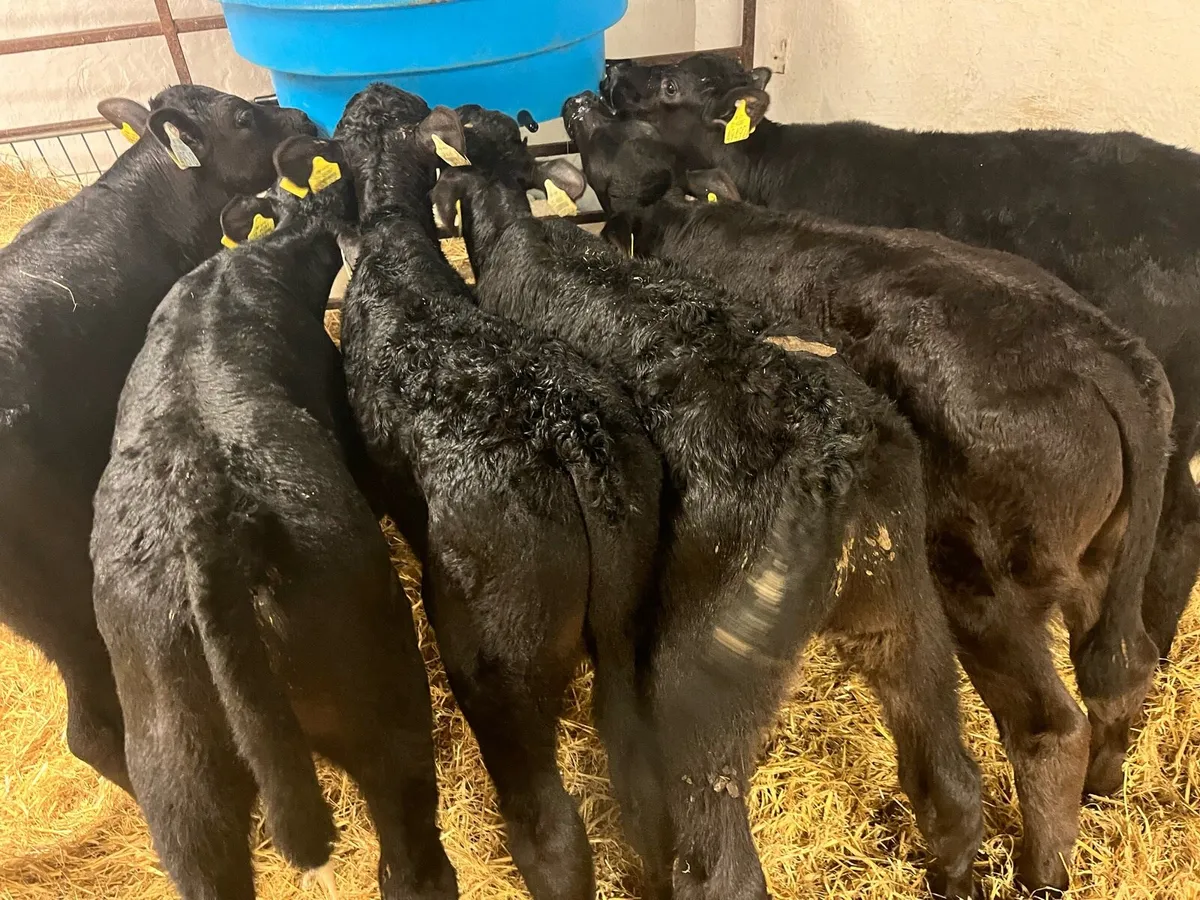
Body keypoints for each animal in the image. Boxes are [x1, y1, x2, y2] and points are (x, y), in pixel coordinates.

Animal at [432, 106, 983, 900]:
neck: (522, 232)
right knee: (952, 785)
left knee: (722, 867)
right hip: (904, 605)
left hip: (704, 671)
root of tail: (835, 465)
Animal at [562, 91, 1175, 895]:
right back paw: (1104, 789)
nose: (579, 99)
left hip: (987, 585)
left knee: (1050, 726)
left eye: (633, 121)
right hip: (1100, 563)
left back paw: (1042, 871)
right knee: (1124, 667)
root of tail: (1105, 355)